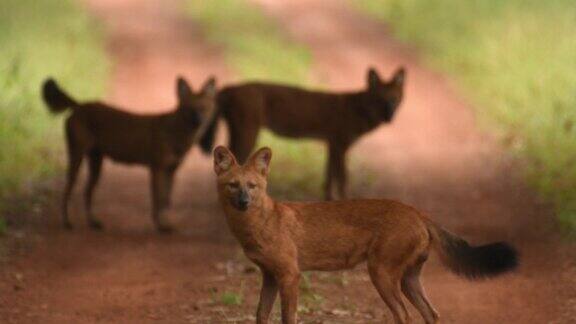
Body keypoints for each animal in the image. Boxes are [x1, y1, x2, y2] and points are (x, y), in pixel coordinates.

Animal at [41, 76, 215, 233]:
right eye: (190, 109)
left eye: (203, 108)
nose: (199, 121)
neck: (176, 133)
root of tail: (79, 105)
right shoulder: (157, 169)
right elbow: (158, 200)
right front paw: (160, 226)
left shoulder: (171, 170)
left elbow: (166, 201)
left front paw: (166, 225)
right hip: (76, 157)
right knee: (67, 191)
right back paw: (67, 222)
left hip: (96, 162)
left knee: (87, 192)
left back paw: (93, 222)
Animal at [202, 67, 404, 200]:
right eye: (379, 99)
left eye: (394, 99)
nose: (389, 116)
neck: (357, 107)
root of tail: (230, 88)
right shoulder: (340, 145)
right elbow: (342, 179)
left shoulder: (331, 144)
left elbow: (329, 177)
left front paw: (329, 200)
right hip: (248, 134)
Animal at [214, 146, 520, 322]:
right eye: (233, 185)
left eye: (252, 186)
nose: (243, 201)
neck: (257, 225)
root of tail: (417, 211)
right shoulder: (269, 275)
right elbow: (260, 315)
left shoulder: (290, 274)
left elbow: (288, 317)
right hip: (408, 279)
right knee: (431, 314)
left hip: (381, 273)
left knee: (404, 316)